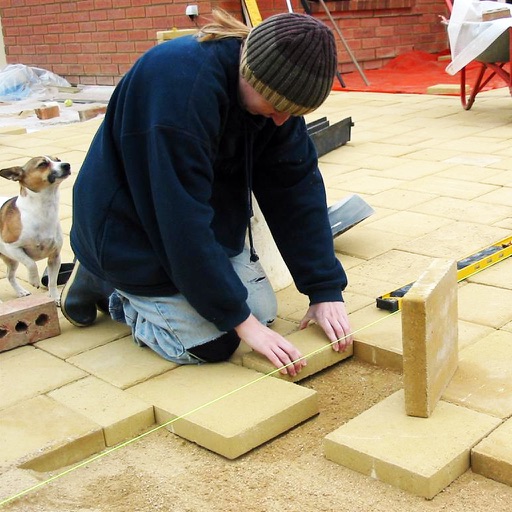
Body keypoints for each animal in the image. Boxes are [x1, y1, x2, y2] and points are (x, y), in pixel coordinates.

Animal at [0, 156, 71, 304]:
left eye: (58, 160)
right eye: (42, 164)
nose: (66, 165)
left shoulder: (55, 258)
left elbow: (52, 282)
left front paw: (55, 297)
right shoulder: (12, 247)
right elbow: (31, 263)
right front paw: (34, 280)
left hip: (12, 260)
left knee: (9, 276)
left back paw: (20, 291)